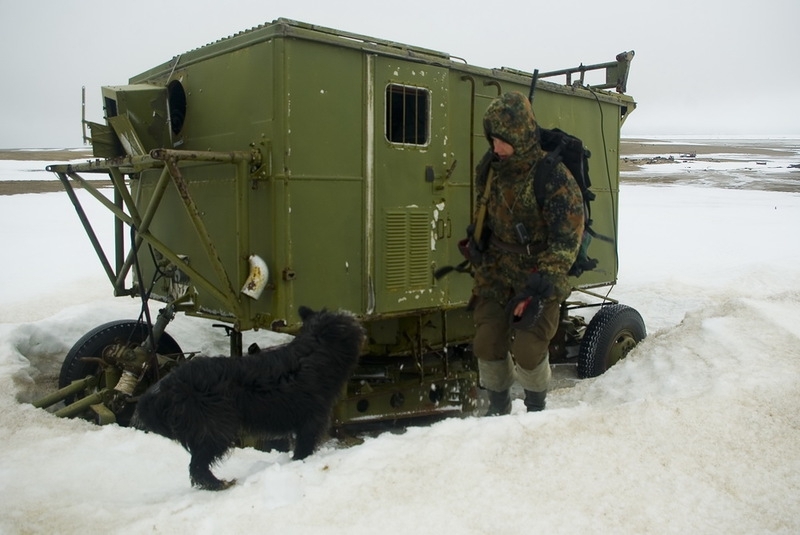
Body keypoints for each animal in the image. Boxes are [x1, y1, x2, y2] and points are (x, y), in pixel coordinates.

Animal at [133, 308, 364, 492]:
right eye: (350, 323)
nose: (361, 322)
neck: (314, 354)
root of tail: (163, 388)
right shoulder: (311, 420)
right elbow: (303, 449)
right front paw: (301, 463)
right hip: (215, 429)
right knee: (197, 466)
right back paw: (218, 484)